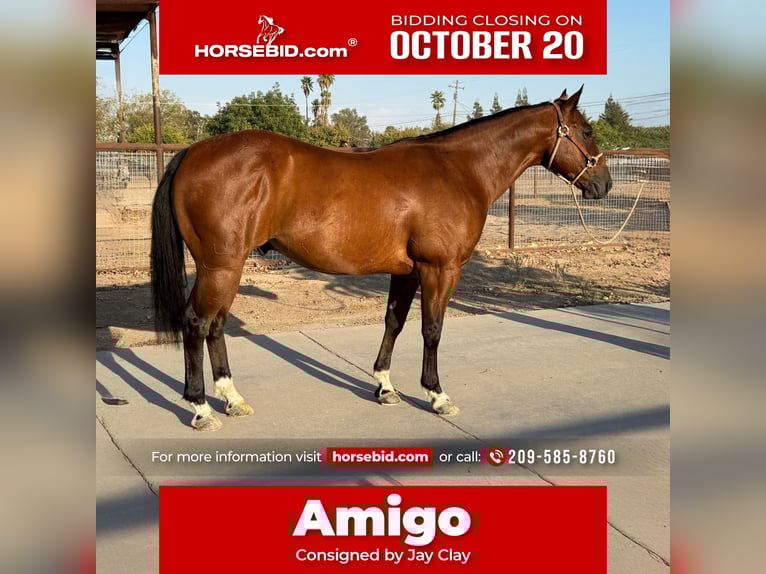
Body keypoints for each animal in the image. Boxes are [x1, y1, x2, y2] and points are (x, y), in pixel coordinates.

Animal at [150, 87, 612, 431]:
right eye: (586, 130)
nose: (604, 184)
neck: (459, 169)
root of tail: (193, 153)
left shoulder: (406, 272)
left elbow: (394, 323)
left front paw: (385, 387)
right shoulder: (440, 270)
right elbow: (432, 330)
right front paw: (437, 395)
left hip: (228, 268)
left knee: (216, 326)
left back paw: (232, 399)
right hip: (220, 267)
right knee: (197, 323)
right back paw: (201, 408)